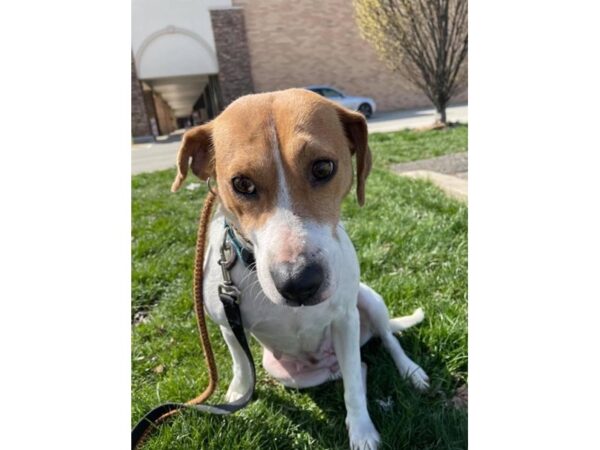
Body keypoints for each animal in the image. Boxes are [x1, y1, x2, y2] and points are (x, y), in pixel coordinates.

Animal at [171, 89, 428, 450]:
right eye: (241, 184)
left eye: (323, 167)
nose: (299, 283)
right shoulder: (227, 321)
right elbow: (240, 361)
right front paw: (238, 392)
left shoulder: (345, 319)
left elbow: (353, 390)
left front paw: (362, 432)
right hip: (287, 372)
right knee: (359, 368)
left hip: (369, 301)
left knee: (384, 343)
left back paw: (411, 372)